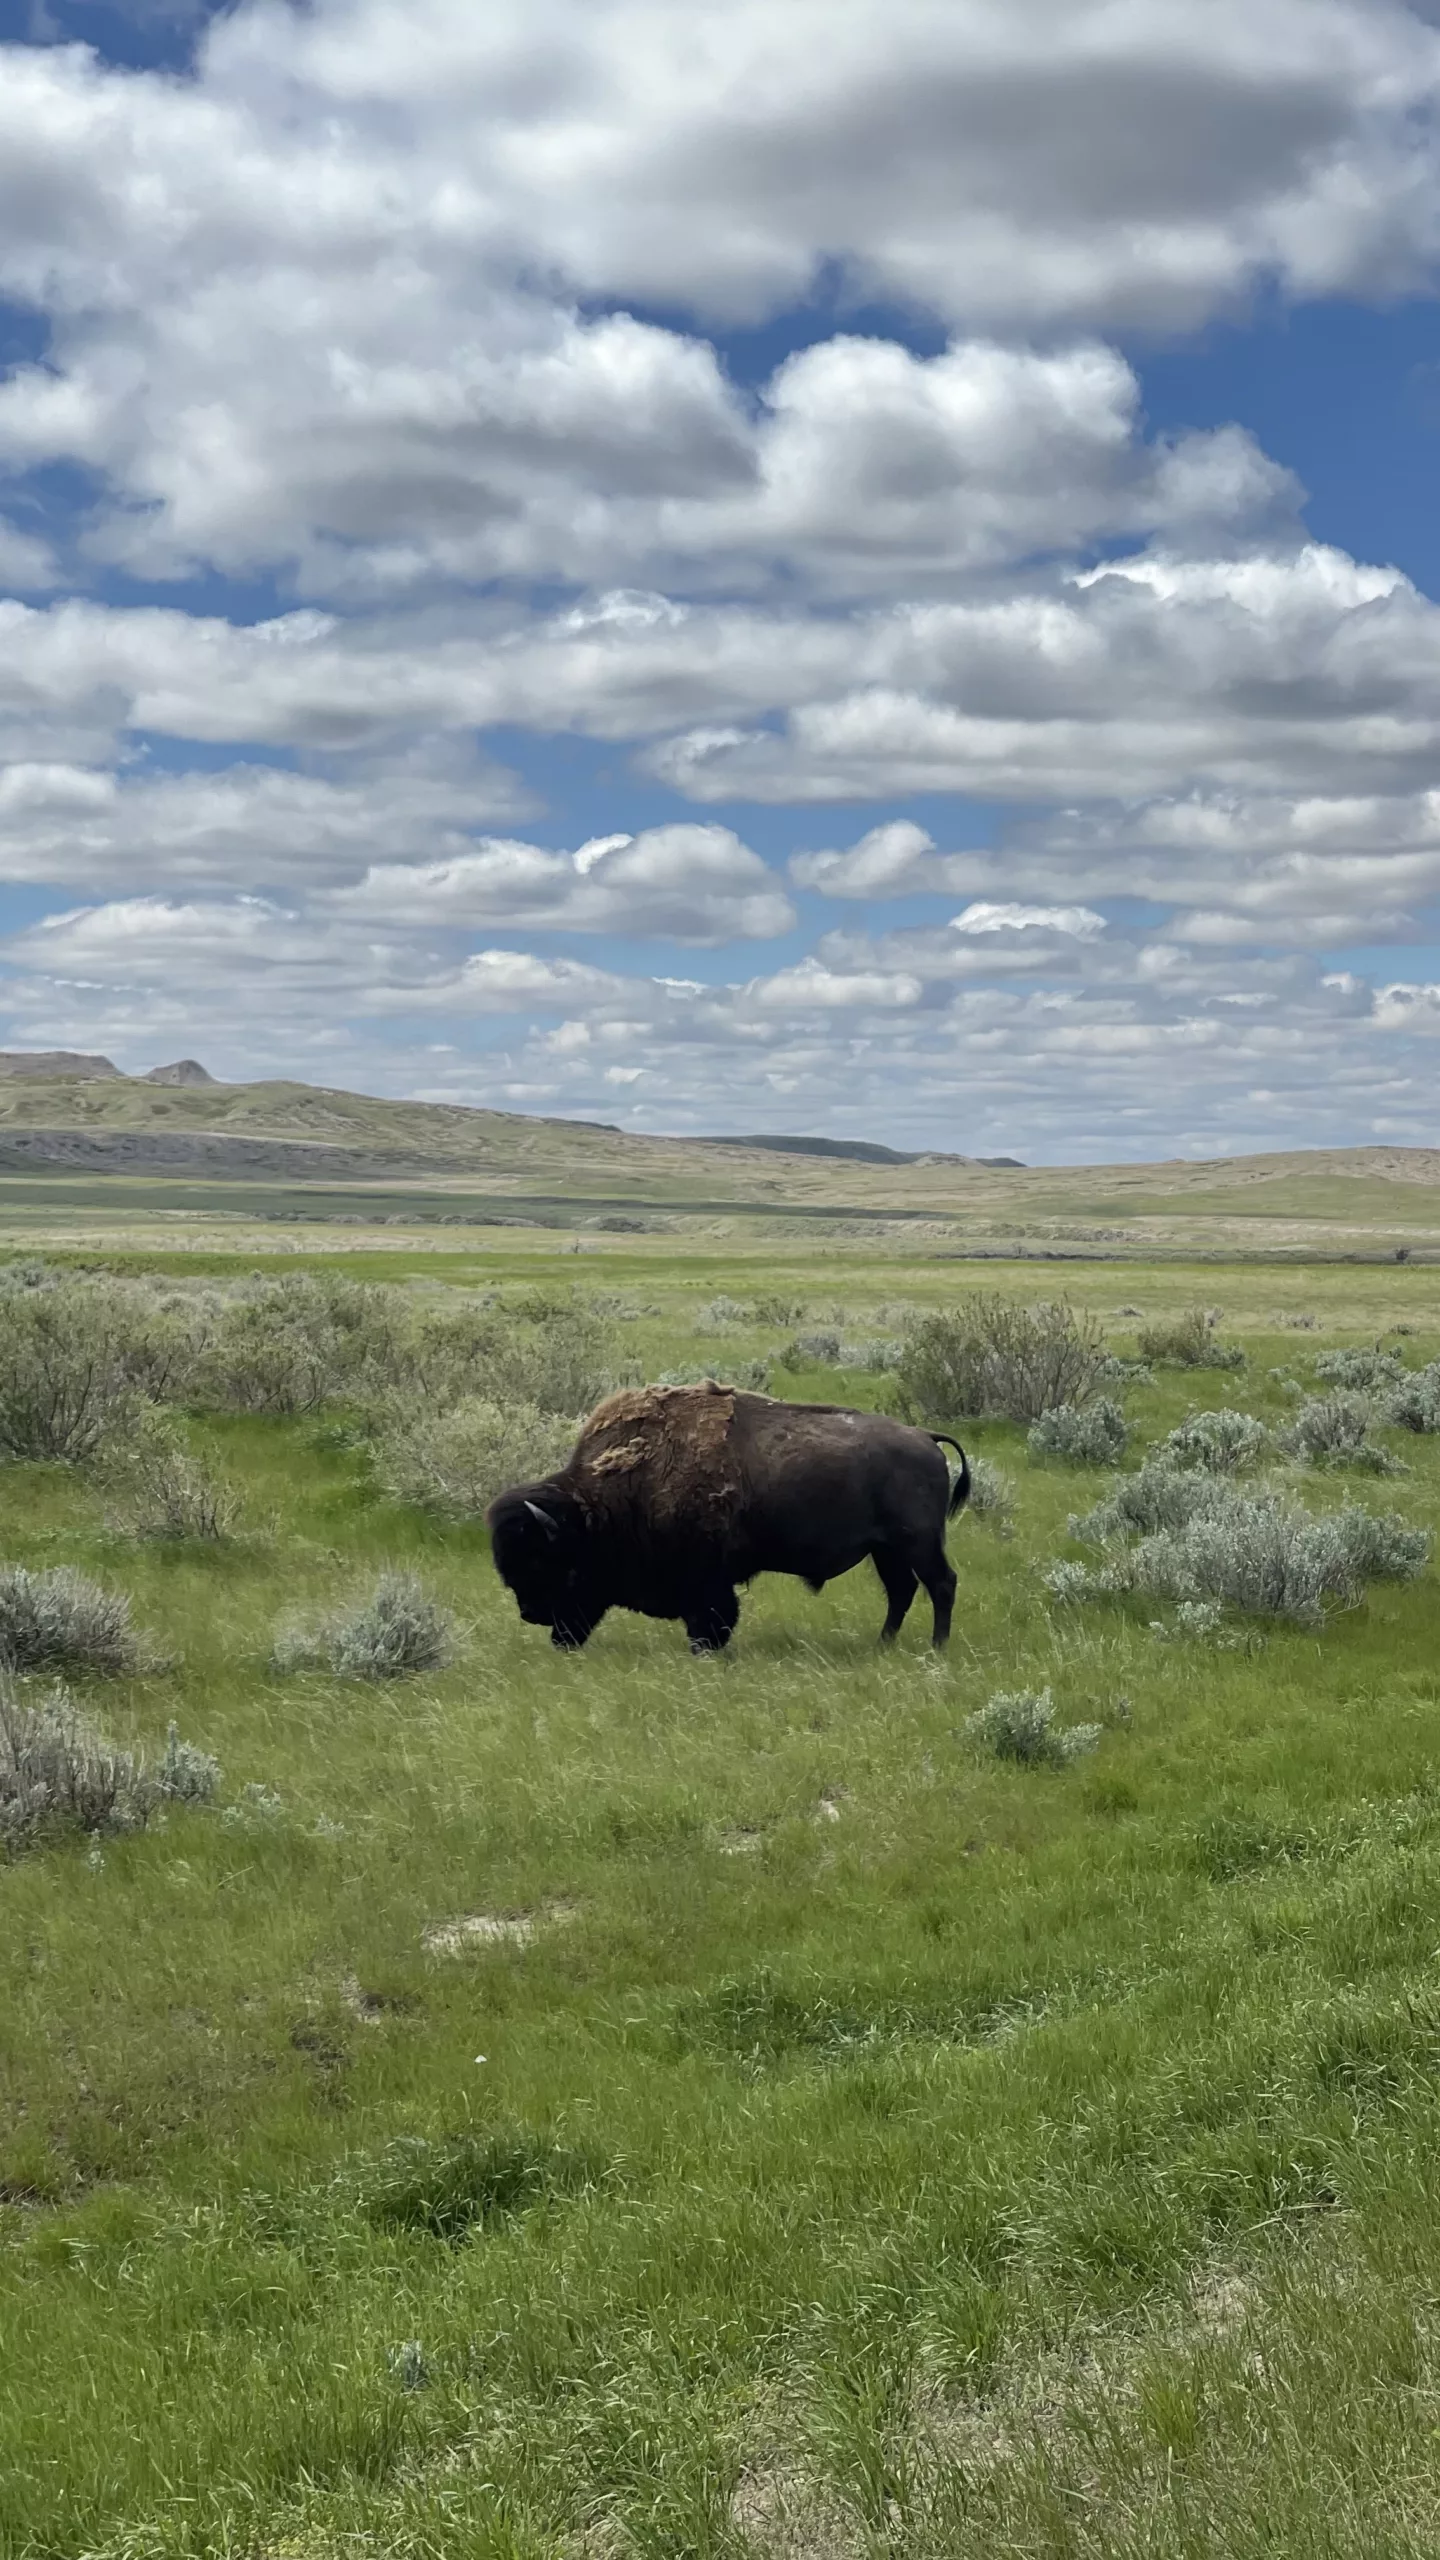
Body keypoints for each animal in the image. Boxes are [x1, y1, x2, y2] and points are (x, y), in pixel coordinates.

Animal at [481, 1382, 963, 1658]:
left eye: (546, 1562)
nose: (531, 1615)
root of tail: (925, 1438)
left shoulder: (706, 1580)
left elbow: (711, 1617)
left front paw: (706, 1651)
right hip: (886, 1550)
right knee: (901, 1592)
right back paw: (883, 1646)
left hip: (917, 1542)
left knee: (941, 1584)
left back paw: (937, 1649)